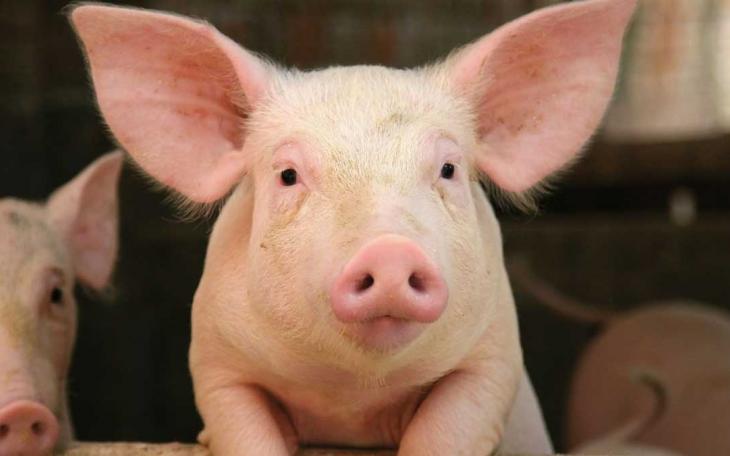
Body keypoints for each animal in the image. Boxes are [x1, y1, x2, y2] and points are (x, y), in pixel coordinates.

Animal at [69, 0, 636, 454]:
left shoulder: (493, 357)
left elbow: (445, 430)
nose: (389, 252)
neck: (352, 398)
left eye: (448, 169)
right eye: (288, 174)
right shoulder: (215, 362)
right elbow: (244, 430)